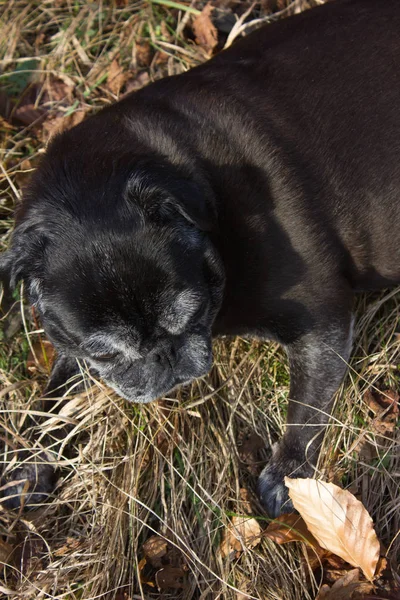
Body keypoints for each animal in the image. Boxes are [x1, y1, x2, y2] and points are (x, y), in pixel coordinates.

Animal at [0, 0, 400, 516]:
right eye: (103, 352)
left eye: (190, 315)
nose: (163, 358)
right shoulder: (74, 351)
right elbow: (50, 403)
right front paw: (27, 461)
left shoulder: (322, 319)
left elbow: (307, 409)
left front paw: (289, 476)